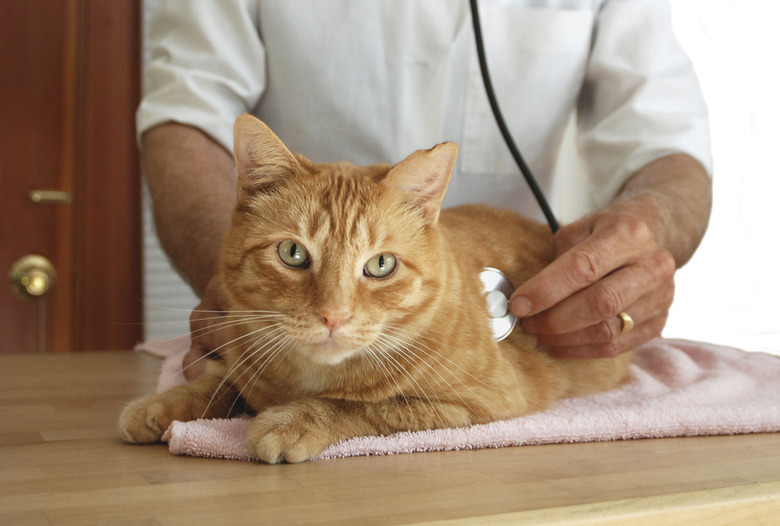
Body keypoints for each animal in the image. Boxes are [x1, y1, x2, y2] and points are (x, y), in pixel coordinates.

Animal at [120, 114, 632, 462]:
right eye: (293, 253)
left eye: (380, 264)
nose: (333, 315)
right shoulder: (246, 354)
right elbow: (219, 380)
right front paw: (165, 402)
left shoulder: (475, 406)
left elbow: (366, 407)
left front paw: (293, 419)